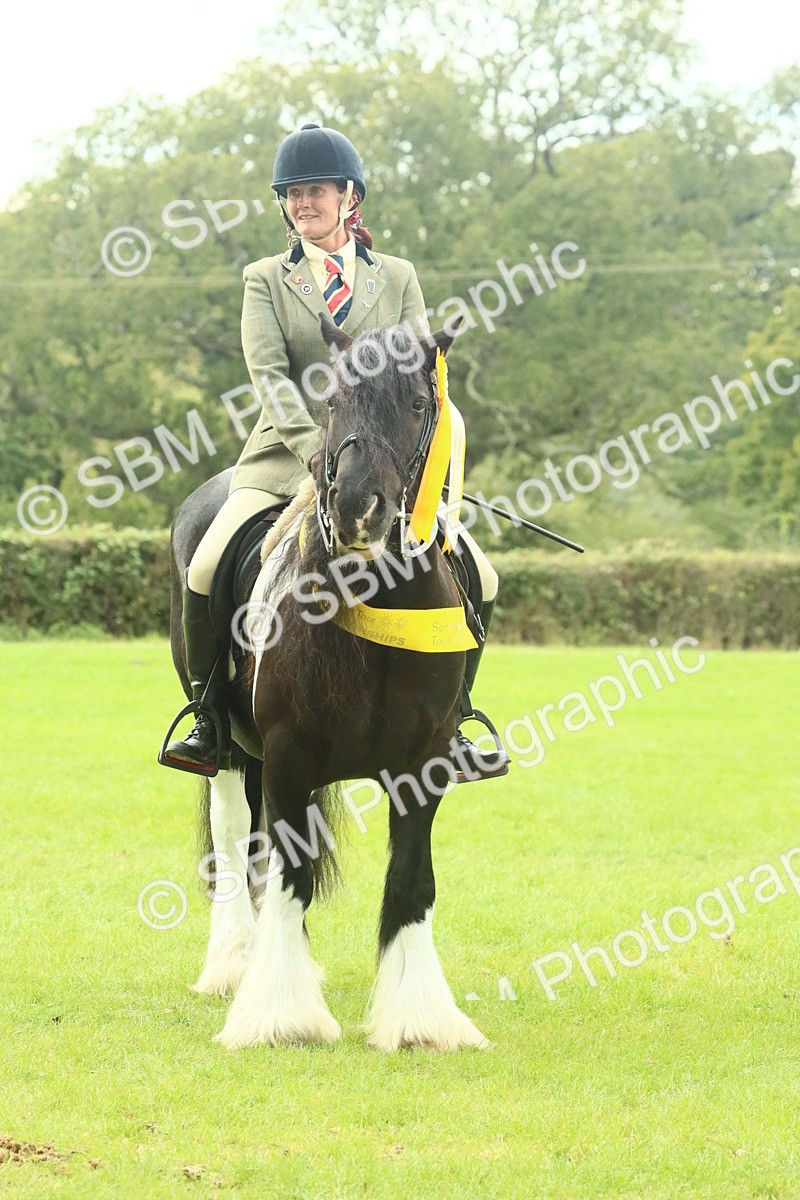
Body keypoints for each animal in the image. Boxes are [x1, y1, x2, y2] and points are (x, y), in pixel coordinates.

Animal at [167, 314, 489, 1051]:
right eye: (332, 400)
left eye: (420, 404)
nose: (359, 509)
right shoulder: (289, 754)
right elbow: (288, 876)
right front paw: (281, 1015)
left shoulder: (424, 762)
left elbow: (411, 881)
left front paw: (419, 1018)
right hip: (234, 748)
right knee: (234, 832)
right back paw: (236, 964)